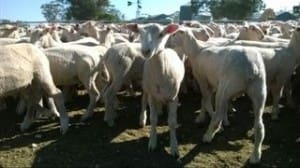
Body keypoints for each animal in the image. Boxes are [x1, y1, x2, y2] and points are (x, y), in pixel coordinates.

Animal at [125, 23, 184, 157]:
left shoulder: (173, 98)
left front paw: (174, 147)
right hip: (146, 87)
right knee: (143, 101)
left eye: (161, 34)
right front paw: (152, 143)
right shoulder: (152, 96)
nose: (146, 51)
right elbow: (153, 119)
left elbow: (172, 122)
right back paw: (142, 118)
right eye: (140, 32)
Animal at [171, 25, 268, 163]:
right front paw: (225, 120)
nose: (169, 43)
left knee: (216, 117)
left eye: (175, 34)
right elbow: (215, 103)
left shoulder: (202, 80)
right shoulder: (213, 83)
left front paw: (204, 118)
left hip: (226, 87)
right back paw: (256, 156)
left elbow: (205, 100)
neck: (197, 50)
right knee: (259, 126)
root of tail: (252, 67)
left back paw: (208, 135)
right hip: (259, 90)